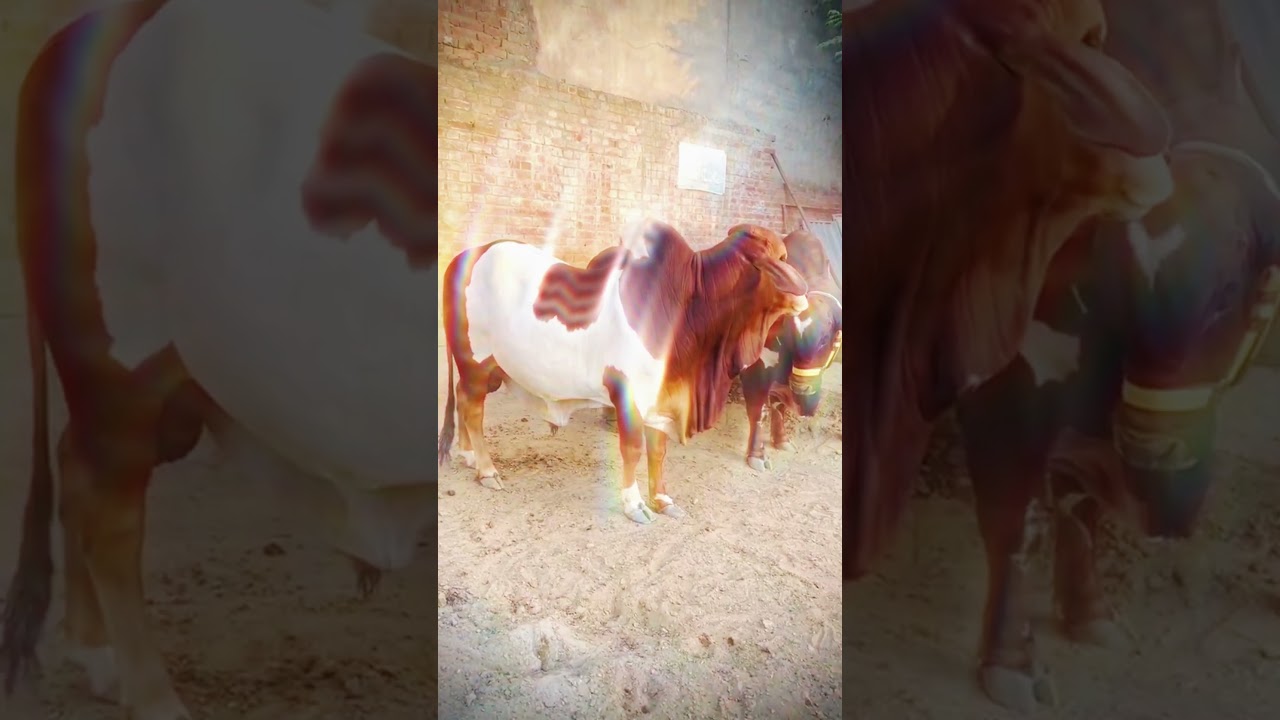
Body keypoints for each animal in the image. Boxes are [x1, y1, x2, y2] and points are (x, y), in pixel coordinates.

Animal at [0, 1, 435, 718]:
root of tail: (83, 29)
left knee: (72, 464)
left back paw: (97, 653)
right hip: (117, 354)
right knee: (107, 515)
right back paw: (153, 696)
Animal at [437, 221, 810, 524]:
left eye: (785, 254)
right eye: (776, 258)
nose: (804, 296)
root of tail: (466, 256)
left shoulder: (661, 398)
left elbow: (658, 451)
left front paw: (663, 500)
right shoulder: (628, 394)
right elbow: (632, 449)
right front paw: (635, 504)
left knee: (464, 402)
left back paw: (469, 456)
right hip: (475, 362)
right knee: (471, 409)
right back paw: (487, 469)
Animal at [737, 229, 842, 471]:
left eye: (825, 339)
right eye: (792, 337)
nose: (802, 388)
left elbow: (778, 406)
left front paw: (782, 440)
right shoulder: (755, 370)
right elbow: (759, 411)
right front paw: (757, 455)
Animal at [952, 0, 1280, 711]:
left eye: (1225, 295)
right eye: (1118, 283)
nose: (1154, 451)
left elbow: (1082, 504)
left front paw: (1090, 612)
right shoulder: (1002, 380)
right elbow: (1015, 518)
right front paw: (1010, 662)